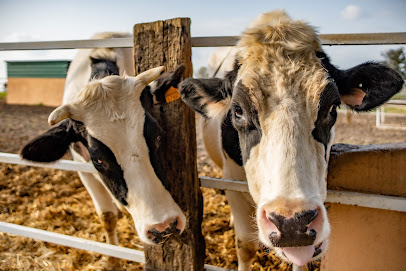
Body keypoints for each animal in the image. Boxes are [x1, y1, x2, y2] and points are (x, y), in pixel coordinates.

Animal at [20, 31, 187, 270]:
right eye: (98, 160)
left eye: (157, 137)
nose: (165, 226)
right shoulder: (83, 168)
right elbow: (107, 216)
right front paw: (114, 262)